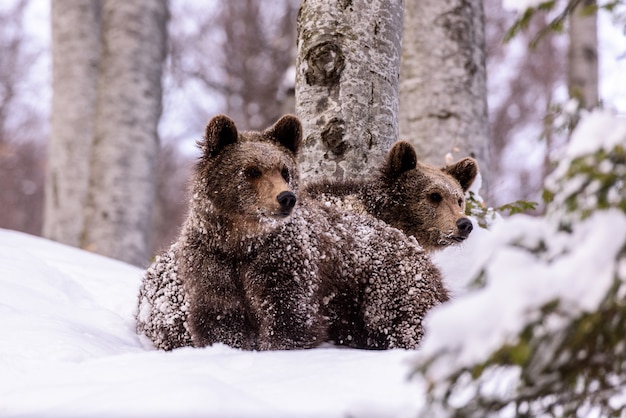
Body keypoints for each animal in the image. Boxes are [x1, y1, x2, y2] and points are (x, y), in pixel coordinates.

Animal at [137, 112, 448, 352]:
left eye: (284, 170)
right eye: (251, 171)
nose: (286, 197)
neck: (242, 240)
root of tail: (412, 246)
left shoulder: (282, 260)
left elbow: (289, 316)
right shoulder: (212, 260)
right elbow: (221, 317)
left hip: (387, 284)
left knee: (402, 320)